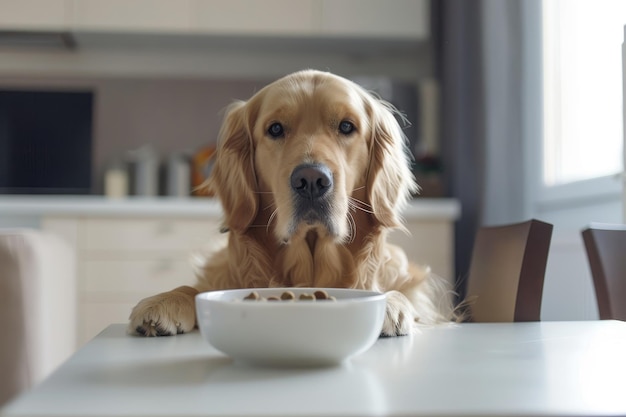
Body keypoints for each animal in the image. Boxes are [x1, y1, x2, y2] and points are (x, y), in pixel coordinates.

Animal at [128, 68, 454, 334]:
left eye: (346, 127)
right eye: (275, 129)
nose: (311, 180)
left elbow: (401, 294)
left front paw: (389, 302)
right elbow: (195, 288)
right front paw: (165, 301)